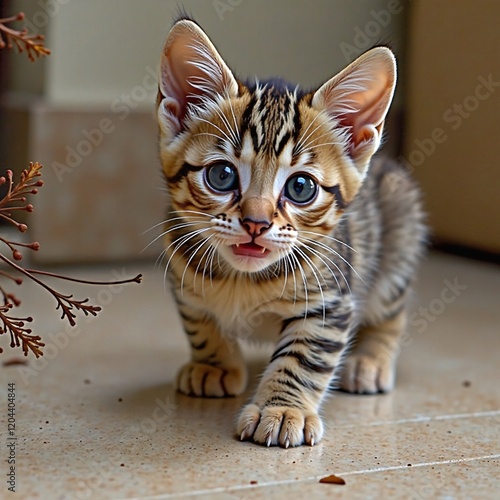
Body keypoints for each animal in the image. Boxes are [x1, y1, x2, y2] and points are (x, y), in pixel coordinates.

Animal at [155, 17, 426, 448]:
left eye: (301, 187)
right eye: (221, 175)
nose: (256, 222)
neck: (243, 281)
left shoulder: (330, 300)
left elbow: (304, 356)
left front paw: (281, 409)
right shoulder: (181, 271)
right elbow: (198, 321)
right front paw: (213, 364)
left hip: (399, 228)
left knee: (390, 310)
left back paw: (370, 360)